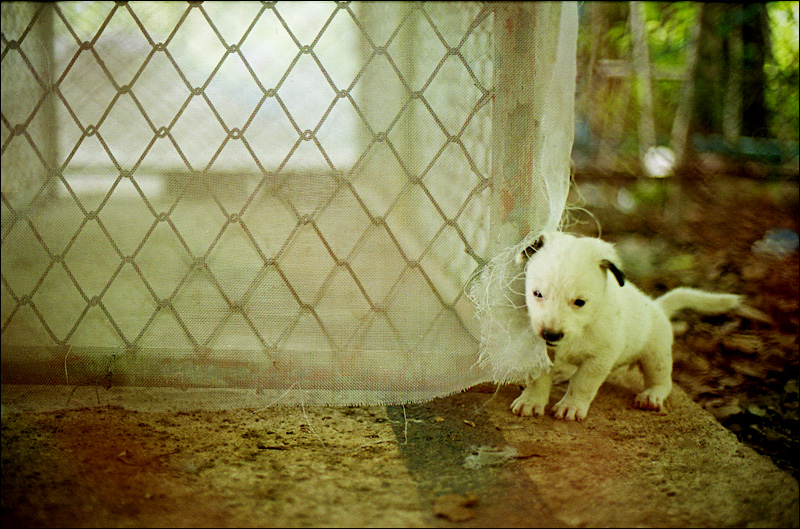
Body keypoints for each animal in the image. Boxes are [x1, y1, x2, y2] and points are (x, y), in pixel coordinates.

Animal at [512, 231, 744, 420]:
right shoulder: (541, 353)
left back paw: (651, 395)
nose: (550, 335)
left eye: (580, 302)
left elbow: (582, 383)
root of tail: (656, 306)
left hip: (656, 358)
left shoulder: (599, 359)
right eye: (537, 294)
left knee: (662, 382)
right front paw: (531, 401)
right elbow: (539, 379)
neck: (585, 326)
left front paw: (572, 406)